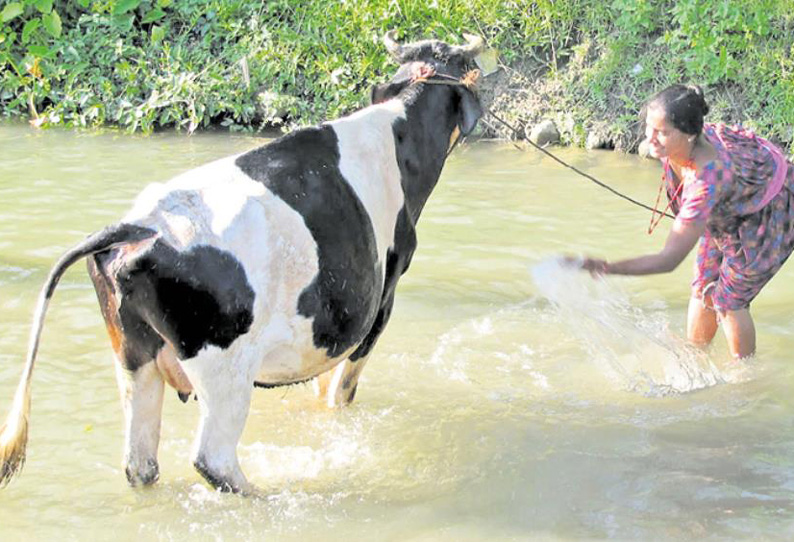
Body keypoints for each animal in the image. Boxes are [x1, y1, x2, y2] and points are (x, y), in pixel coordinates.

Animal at [0, 31, 486, 496]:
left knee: (140, 463)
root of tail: (138, 227)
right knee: (212, 460)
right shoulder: (378, 308)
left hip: (134, 358)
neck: (397, 135)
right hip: (224, 368)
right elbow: (340, 395)